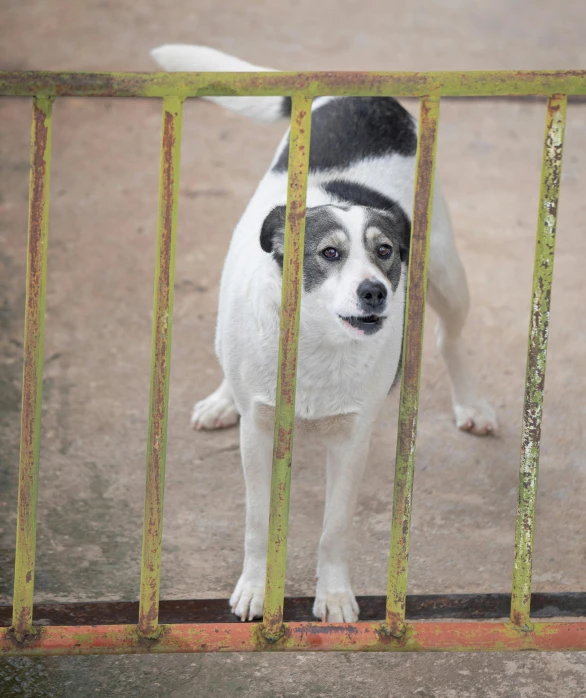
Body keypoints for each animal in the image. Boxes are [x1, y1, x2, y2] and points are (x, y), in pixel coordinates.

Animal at [149, 43, 492, 620]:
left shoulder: (352, 440)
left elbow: (334, 530)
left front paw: (333, 596)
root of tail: (359, 90)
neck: (316, 345)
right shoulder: (258, 436)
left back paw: (472, 404)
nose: (375, 292)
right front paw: (254, 587)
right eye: (329, 254)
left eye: (385, 252)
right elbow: (256, 524)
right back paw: (222, 400)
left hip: (446, 272)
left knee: (451, 336)